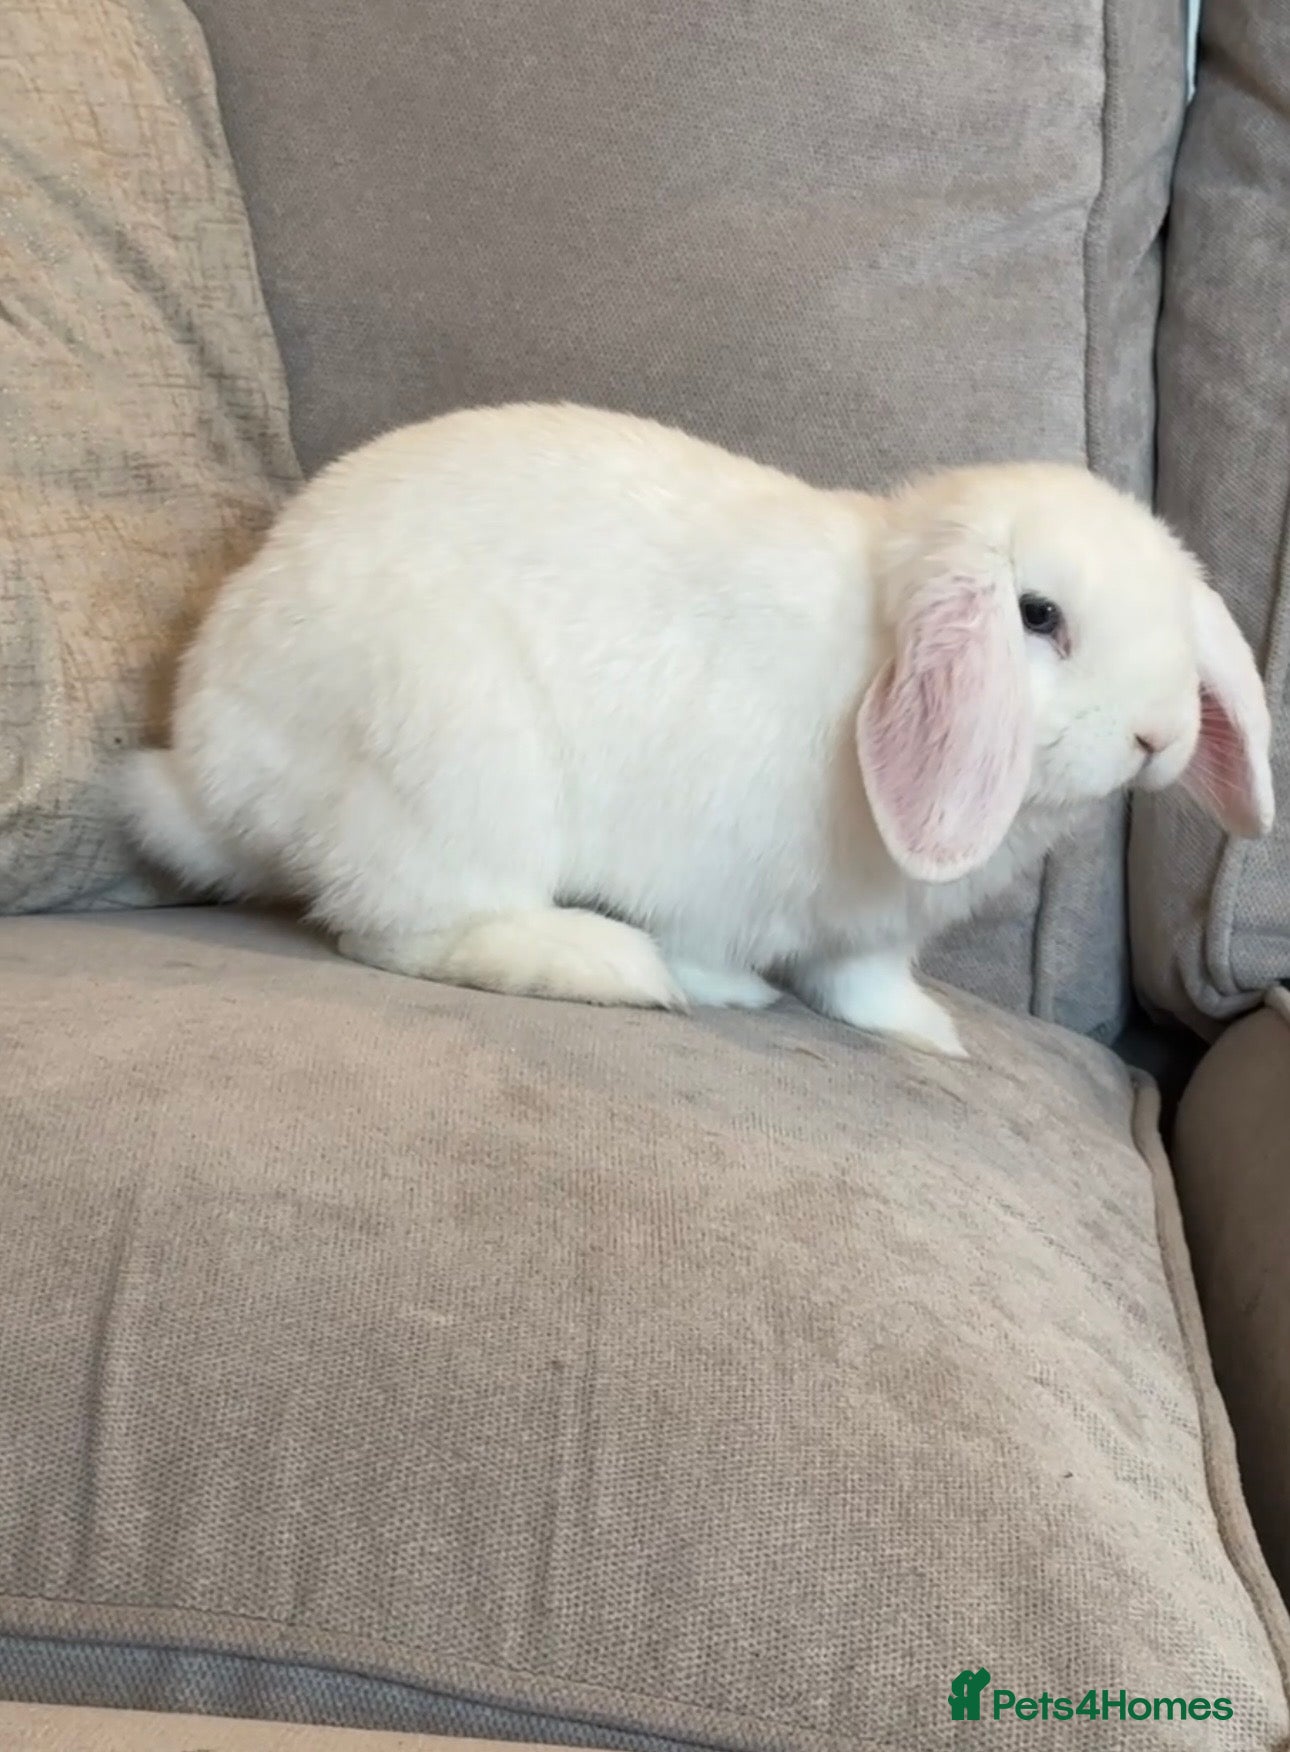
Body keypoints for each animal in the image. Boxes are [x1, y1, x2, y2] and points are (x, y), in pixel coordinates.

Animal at [123, 402, 1274, 1056]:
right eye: (1038, 616)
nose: (1157, 738)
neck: (873, 652)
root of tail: (217, 769)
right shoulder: (707, 867)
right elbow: (710, 942)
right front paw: (727, 992)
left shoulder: (871, 932)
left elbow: (863, 984)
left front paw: (926, 1035)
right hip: (452, 758)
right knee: (406, 929)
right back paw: (608, 968)